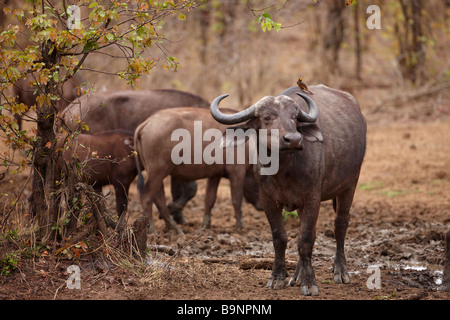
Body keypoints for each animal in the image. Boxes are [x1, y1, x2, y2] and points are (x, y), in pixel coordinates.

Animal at [134, 107, 260, 235]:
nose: (261, 206)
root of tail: (148, 122)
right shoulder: (237, 172)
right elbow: (236, 200)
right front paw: (241, 227)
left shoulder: (215, 175)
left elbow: (209, 199)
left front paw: (205, 225)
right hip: (158, 172)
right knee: (147, 198)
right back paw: (152, 230)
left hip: (156, 173)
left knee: (159, 199)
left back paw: (175, 229)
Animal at [210, 84, 366, 296]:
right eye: (267, 117)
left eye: (294, 117)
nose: (293, 139)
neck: (283, 169)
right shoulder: (268, 200)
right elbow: (280, 238)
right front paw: (277, 278)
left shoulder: (312, 198)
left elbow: (305, 239)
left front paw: (309, 283)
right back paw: (297, 275)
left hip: (350, 183)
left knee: (340, 224)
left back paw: (340, 271)